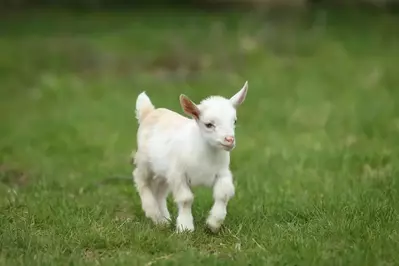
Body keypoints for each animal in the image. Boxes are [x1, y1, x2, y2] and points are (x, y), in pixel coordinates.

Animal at [133, 81, 248, 233]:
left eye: (234, 121)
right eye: (209, 124)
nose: (229, 140)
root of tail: (149, 112)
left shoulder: (222, 173)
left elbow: (223, 194)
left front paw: (214, 223)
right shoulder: (178, 174)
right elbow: (186, 199)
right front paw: (185, 227)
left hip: (163, 172)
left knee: (160, 191)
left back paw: (164, 220)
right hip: (145, 162)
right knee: (141, 180)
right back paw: (154, 214)